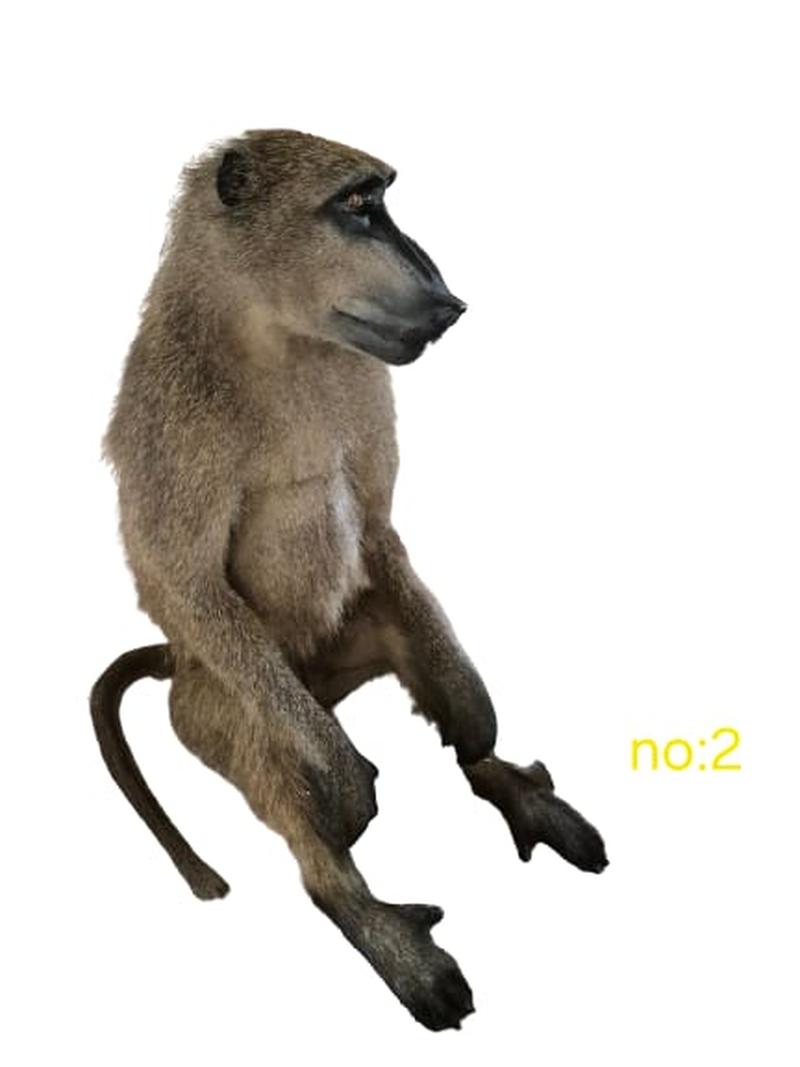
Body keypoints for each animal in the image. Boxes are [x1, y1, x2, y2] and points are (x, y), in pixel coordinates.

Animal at [91, 129, 608, 1032]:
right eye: (358, 206)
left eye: (380, 200)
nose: (446, 301)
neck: (270, 336)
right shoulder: (169, 414)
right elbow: (181, 582)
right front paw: (345, 789)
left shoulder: (368, 389)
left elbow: (374, 528)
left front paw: (479, 725)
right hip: (209, 698)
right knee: (278, 766)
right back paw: (375, 920)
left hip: (349, 644)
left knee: (427, 676)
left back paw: (508, 780)